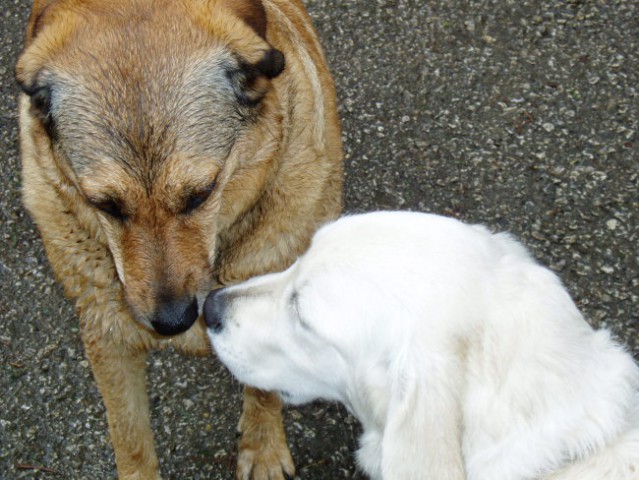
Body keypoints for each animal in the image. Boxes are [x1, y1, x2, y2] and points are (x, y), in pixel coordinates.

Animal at [15, 1, 342, 478]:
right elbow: (129, 436)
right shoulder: (106, 333)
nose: (172, 322)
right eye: (105, 205)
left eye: (201, 194)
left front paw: (262, 449)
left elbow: (265, 390)